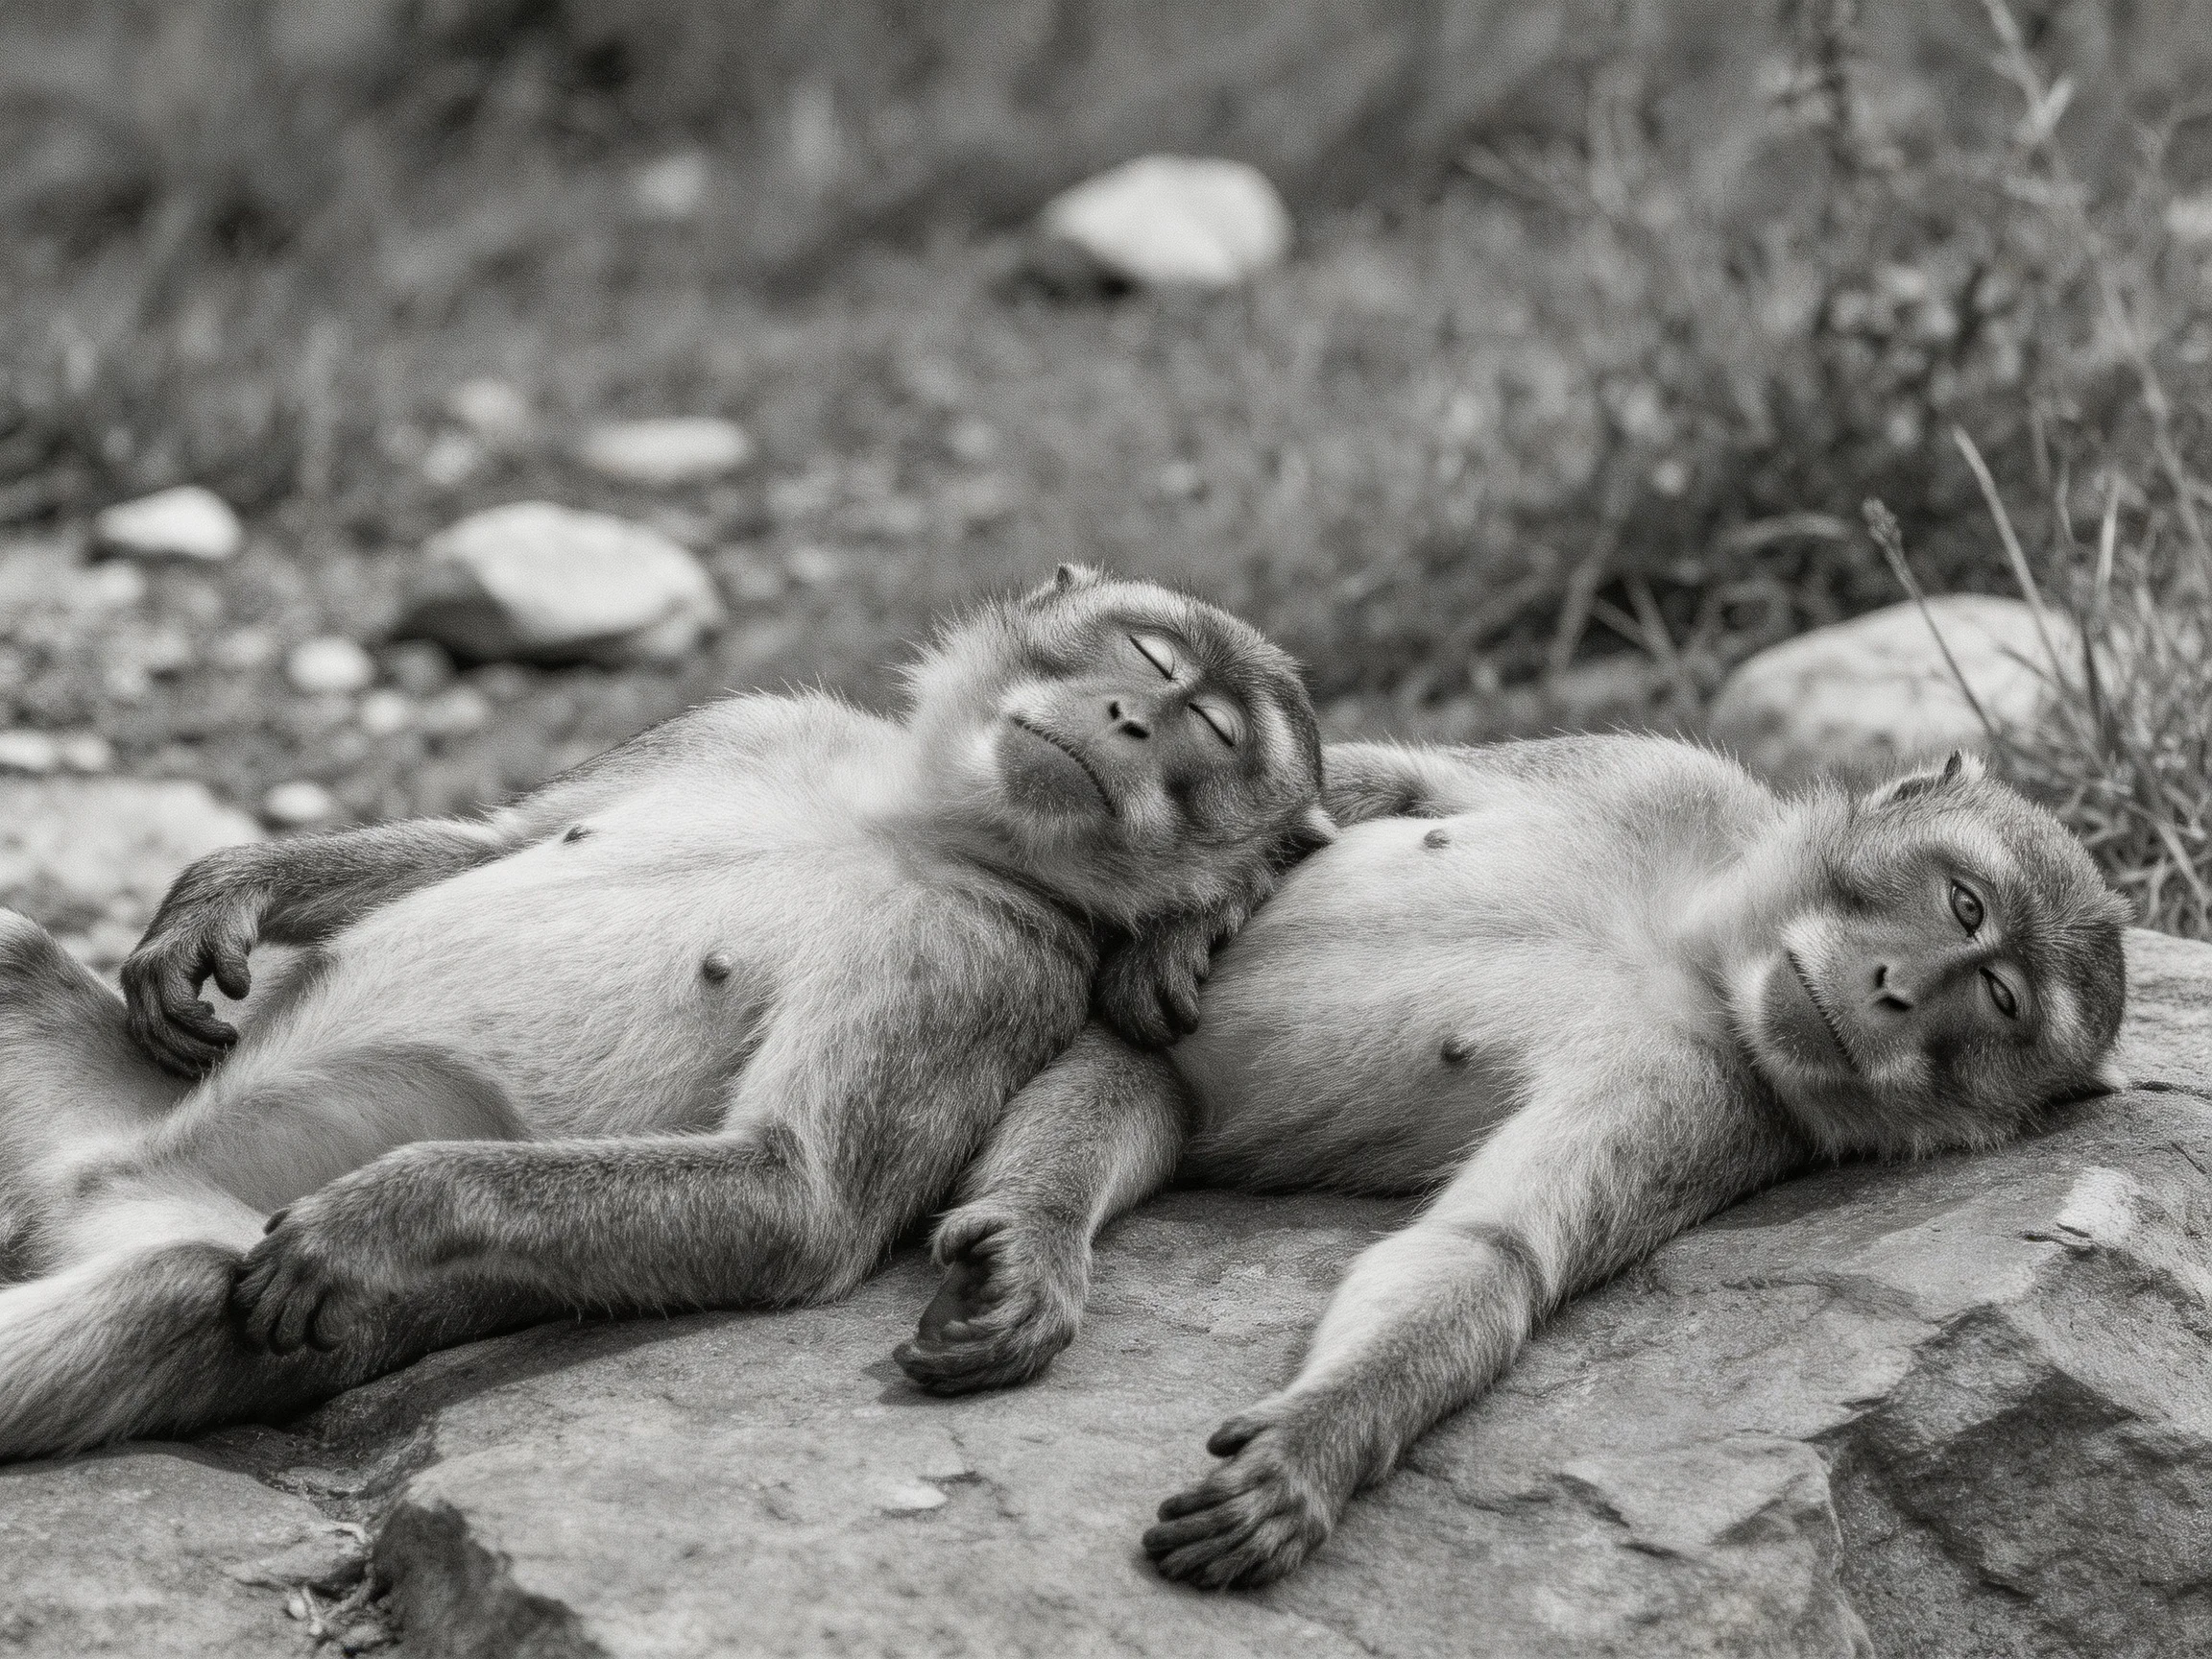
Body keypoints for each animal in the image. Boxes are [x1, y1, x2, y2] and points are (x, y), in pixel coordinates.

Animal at [0, 565, 1333, 1461]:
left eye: (1210, 737)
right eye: (1152, 661)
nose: (1129, 721)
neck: (908, 820)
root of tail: (79, 1192)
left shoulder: (983, 959)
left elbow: (798, 1202)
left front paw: (393, 1208)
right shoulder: (746, 718)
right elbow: (488, 840)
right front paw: (227, 892)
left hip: (246, 1277)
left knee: (179, 1290)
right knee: (14, 956)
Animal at [893, 735, 2131, 1588]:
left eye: (1997, 1002)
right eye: (1962, 904)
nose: (1897, 990)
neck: (1687, 949)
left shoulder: (1708, 1100)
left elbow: (1486, 1249)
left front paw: (1314, 1444)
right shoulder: (1661, 776)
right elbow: (1376, 776)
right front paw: (1199, 908)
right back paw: (1034, 1228)